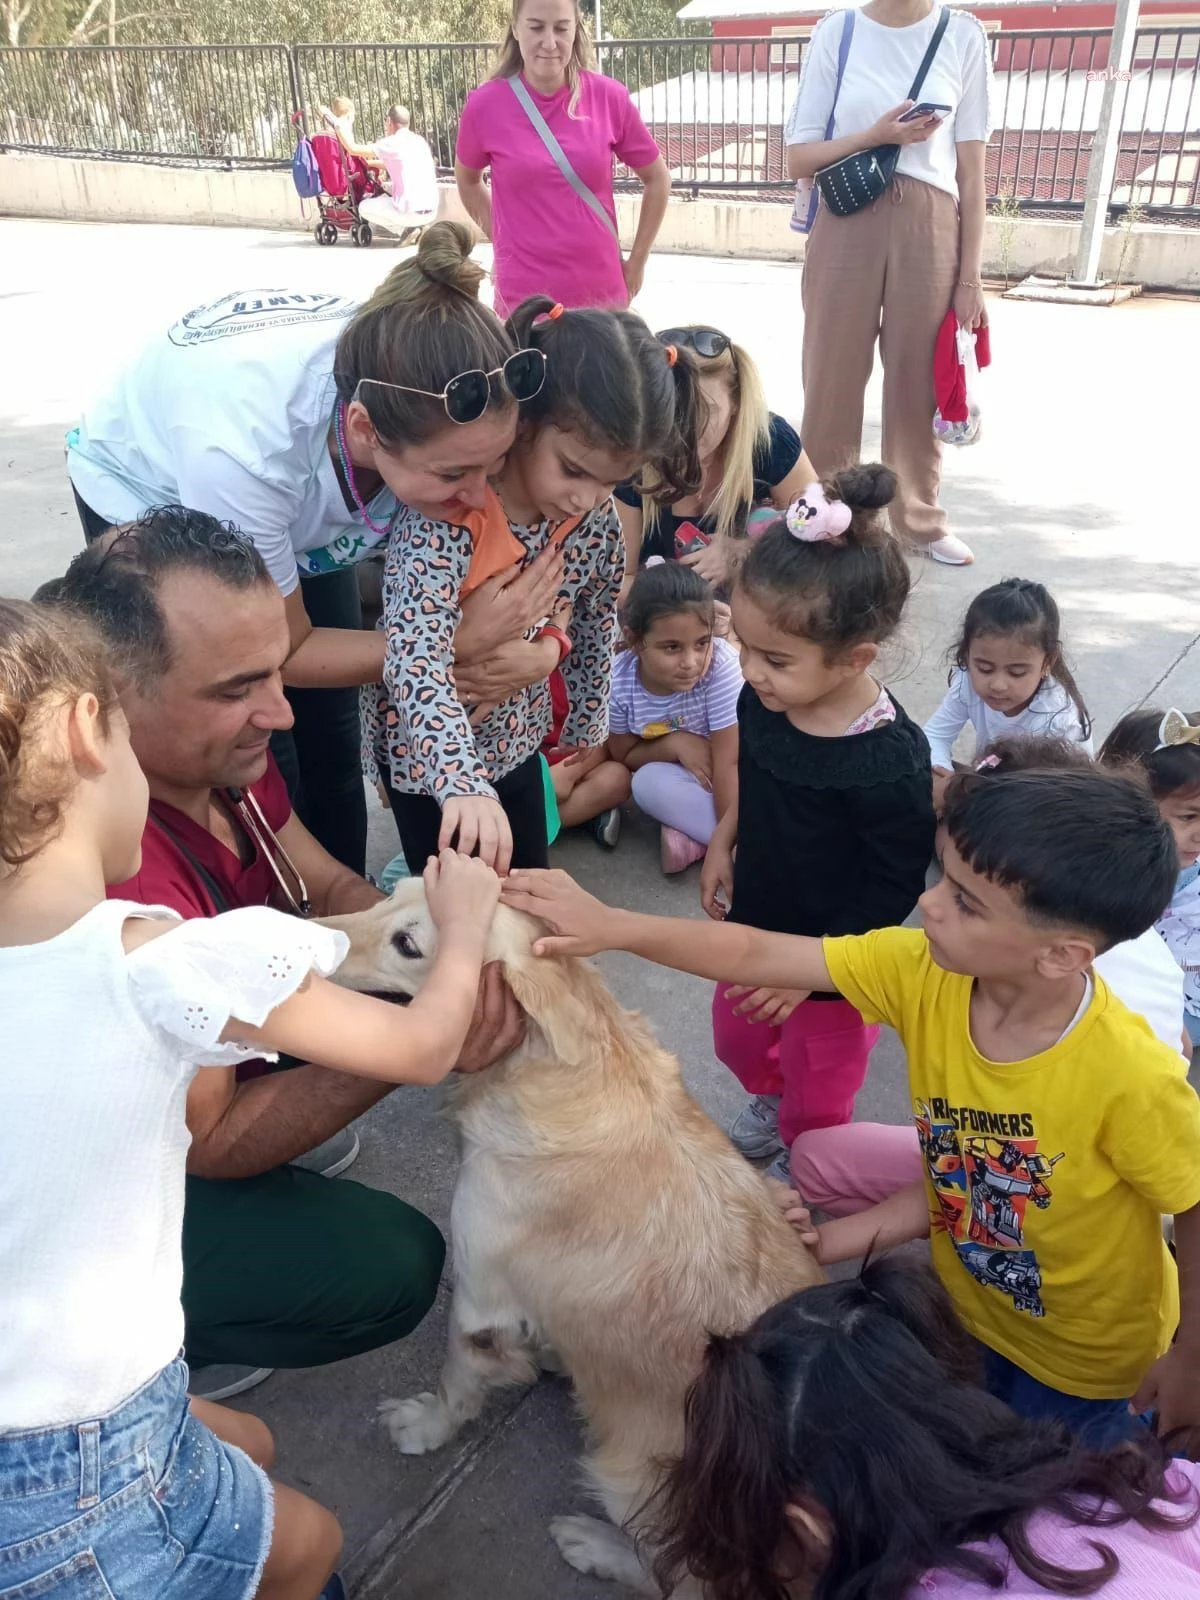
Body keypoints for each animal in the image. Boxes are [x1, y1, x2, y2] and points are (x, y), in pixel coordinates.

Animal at [324, 883, 825, 1593]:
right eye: (388, 894)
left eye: (409, 943)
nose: (302, 929)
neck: (547, 1068)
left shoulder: (478, 1298)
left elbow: (455, 1381)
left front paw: (425, 1426)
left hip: (633, 1479)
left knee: (677, 1576)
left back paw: (595, 1545)